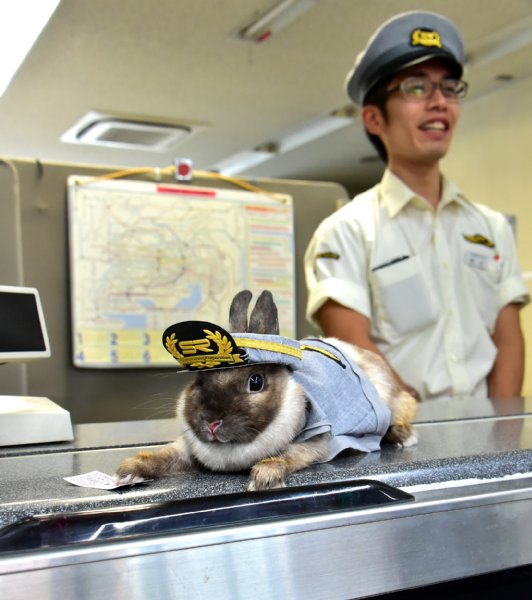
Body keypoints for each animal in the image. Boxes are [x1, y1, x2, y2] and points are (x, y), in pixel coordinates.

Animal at [115, 288, 416, 490]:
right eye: (198, 381)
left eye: (256, 382)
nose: (211, 423)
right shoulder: (188, 449)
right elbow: (164, 456)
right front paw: (128, 470)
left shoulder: (317, 440)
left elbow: (287, 456)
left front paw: (263, 478)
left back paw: (403, 436)